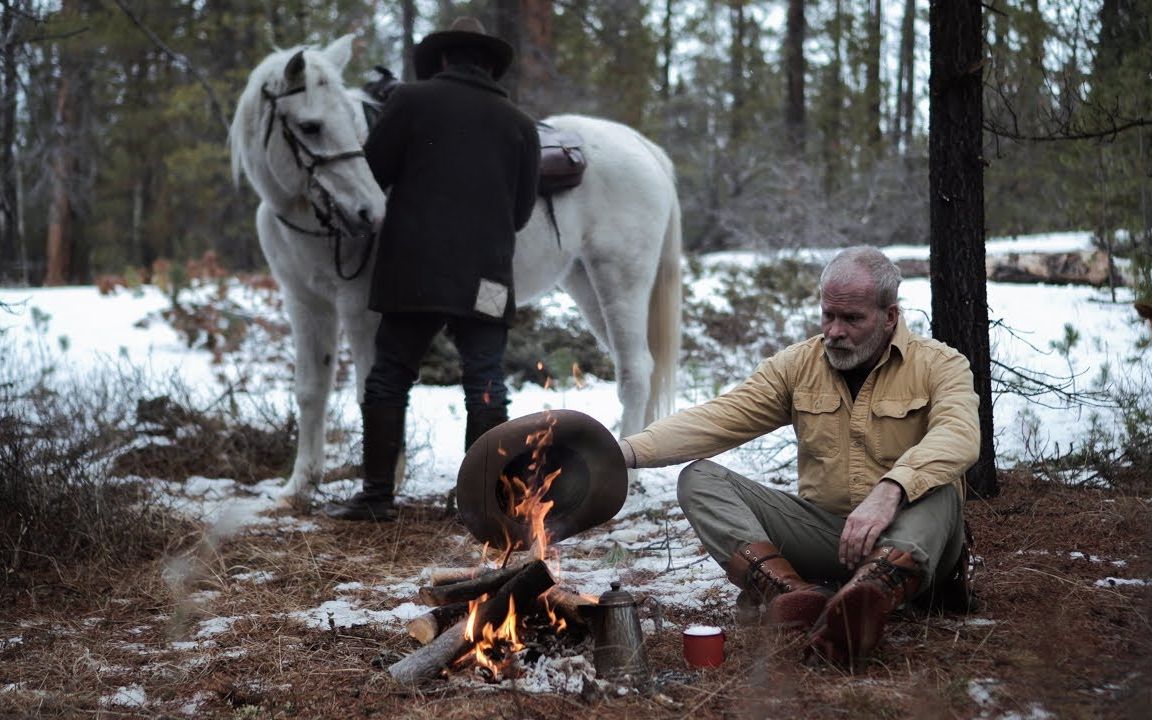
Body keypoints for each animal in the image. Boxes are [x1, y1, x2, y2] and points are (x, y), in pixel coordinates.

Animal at [232, 36, 677, 502]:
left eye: (346, 120)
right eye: (311, 126)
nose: (368, 211)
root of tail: (642, 147)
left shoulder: (359, 309)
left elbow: (366, 391)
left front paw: (387, 479)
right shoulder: (305, 305)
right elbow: (310, 392)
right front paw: (300, 484)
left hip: (620, 281)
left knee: (635, 370)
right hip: (586, 285)